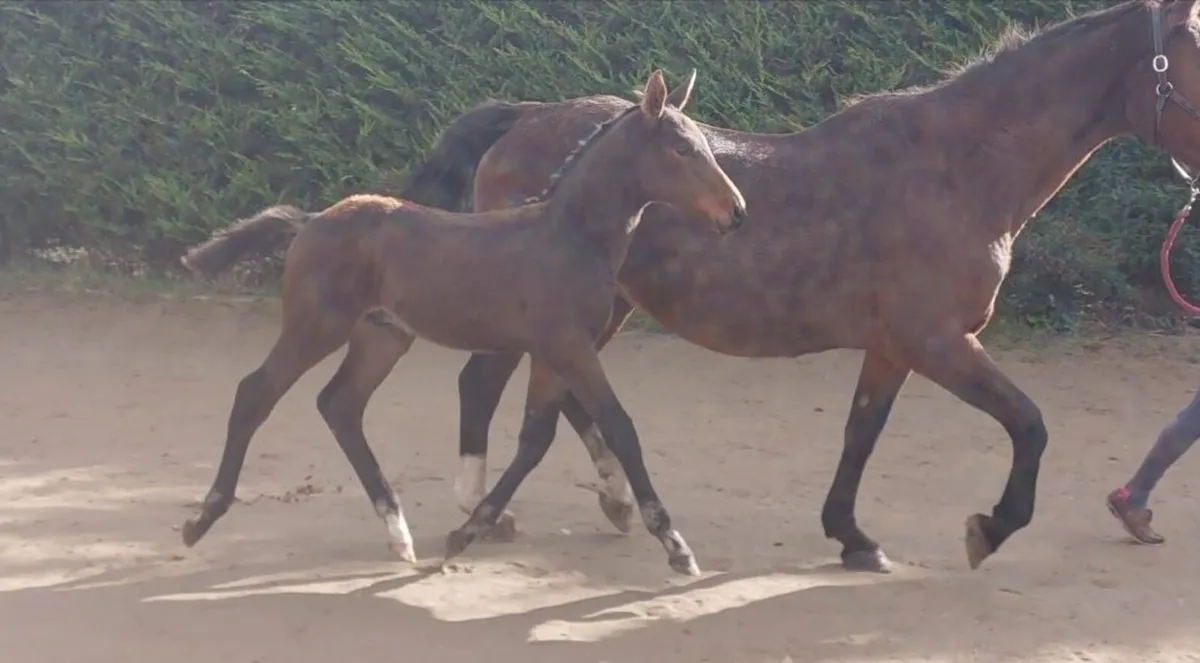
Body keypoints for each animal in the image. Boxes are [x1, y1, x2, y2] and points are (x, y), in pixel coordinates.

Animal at [175, 69, 747, 576]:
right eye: (681, 149)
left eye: (704, 143)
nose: (736, 211)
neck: (567, 236)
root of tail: (310, 221)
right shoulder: (569, 345)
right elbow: (618, 426)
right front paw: (676, 546)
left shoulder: (551, 352)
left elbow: (536, 437)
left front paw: (468, 532)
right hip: (318, 323)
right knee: (257, 392)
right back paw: (202, 519)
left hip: (382, 334)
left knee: (340, 404)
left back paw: (398, 534)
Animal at [397, 0, 1200, 575]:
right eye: (1196, 52)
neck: (956, 168)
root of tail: (523, 117)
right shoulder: (938, 340)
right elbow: (1029, 423)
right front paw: (988, 528)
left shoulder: (894, 347)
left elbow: (860, 434)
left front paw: (852, 536)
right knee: (481, 384)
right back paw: (484, 511)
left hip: (601, 312)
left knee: (562, 400)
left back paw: (612, 501)